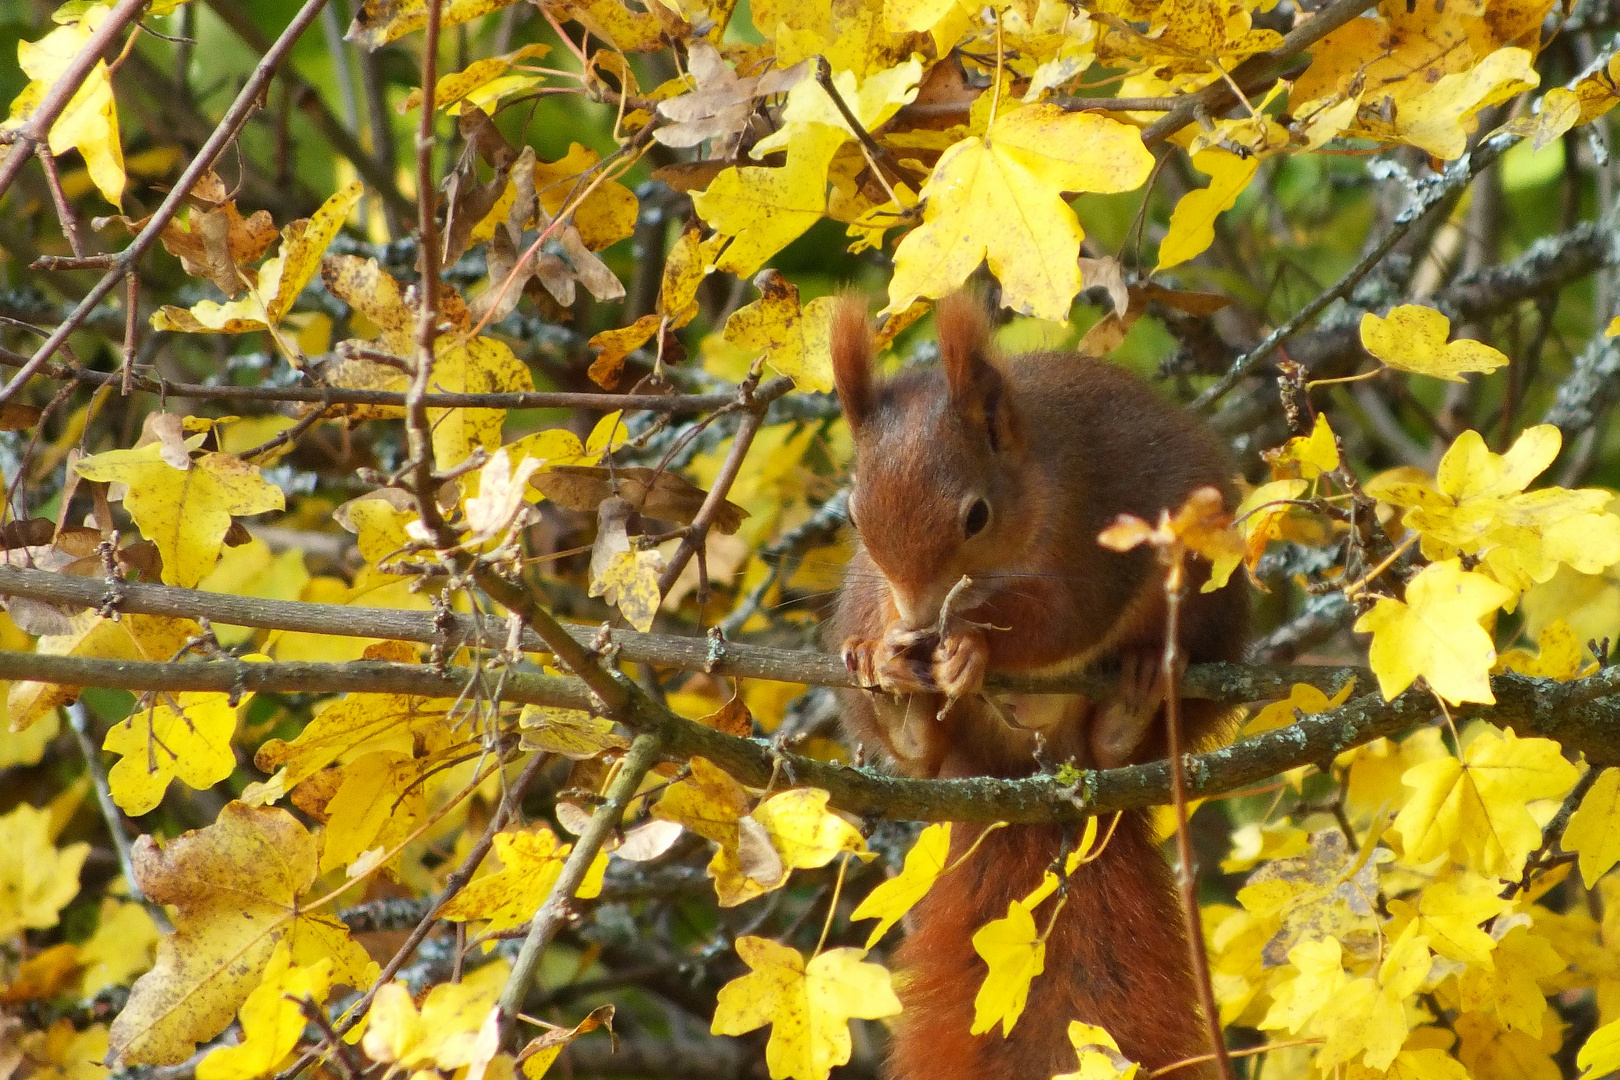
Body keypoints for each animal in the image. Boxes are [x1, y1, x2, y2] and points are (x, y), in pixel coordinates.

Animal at [829, 291, 1244, 1080]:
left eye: (976, 515)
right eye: (853, 518)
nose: (918, 623)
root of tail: (1026, 777)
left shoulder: (1093, 533)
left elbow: (1056, 622)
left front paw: (971, 648)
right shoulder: (869, 584)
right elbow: (874, 612)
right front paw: (887, 652)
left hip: (1207, 615)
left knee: (1124, 739)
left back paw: (1136, 690)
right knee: (921, 757)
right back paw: (901, 709)